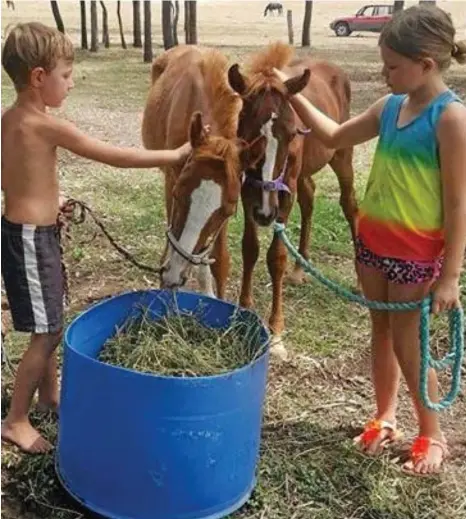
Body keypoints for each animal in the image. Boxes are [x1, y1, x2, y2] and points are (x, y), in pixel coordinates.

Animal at [228, 42, 356, 360]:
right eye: (246, 134)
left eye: (291, 133)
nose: (265, 213)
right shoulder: (249, 191)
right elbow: (250, 248)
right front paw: (243, 310)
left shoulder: (283, 195)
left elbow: (276, 257)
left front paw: (275, 332)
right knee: (309, 201)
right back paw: (300, 269)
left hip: (341, 157)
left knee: (349, 204)